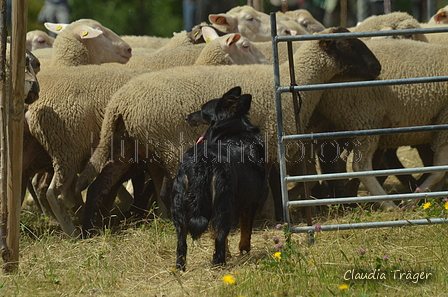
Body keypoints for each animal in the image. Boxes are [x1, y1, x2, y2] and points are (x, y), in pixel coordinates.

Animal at [25, 28, 272, 236]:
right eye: (246, 46)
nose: (267, 62)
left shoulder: (149, 155)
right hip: (68, 149)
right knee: (55, 191)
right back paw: (72, 229)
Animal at [75, 27, 384, 231]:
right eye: (347, 44)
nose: (377, 67)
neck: (293, 79)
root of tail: (120, 101)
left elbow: (271, 184)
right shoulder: (274, 139)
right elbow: (275, 185)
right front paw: (276, 218)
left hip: (129, 143)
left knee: (101, 185)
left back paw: (90, 230)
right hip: (170, 143)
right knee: (168, 191)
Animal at [172, 86, 268, 270]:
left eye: (203, 111)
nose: (186, 117)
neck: (234, 130)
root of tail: (202, 162)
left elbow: (214, 233)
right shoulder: (254, 201)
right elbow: (245, 230)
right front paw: (244, 251)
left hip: (180, 205)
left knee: (182, 241)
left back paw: (180, 268)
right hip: (223, 204)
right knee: (221, 234)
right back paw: (219, 264)